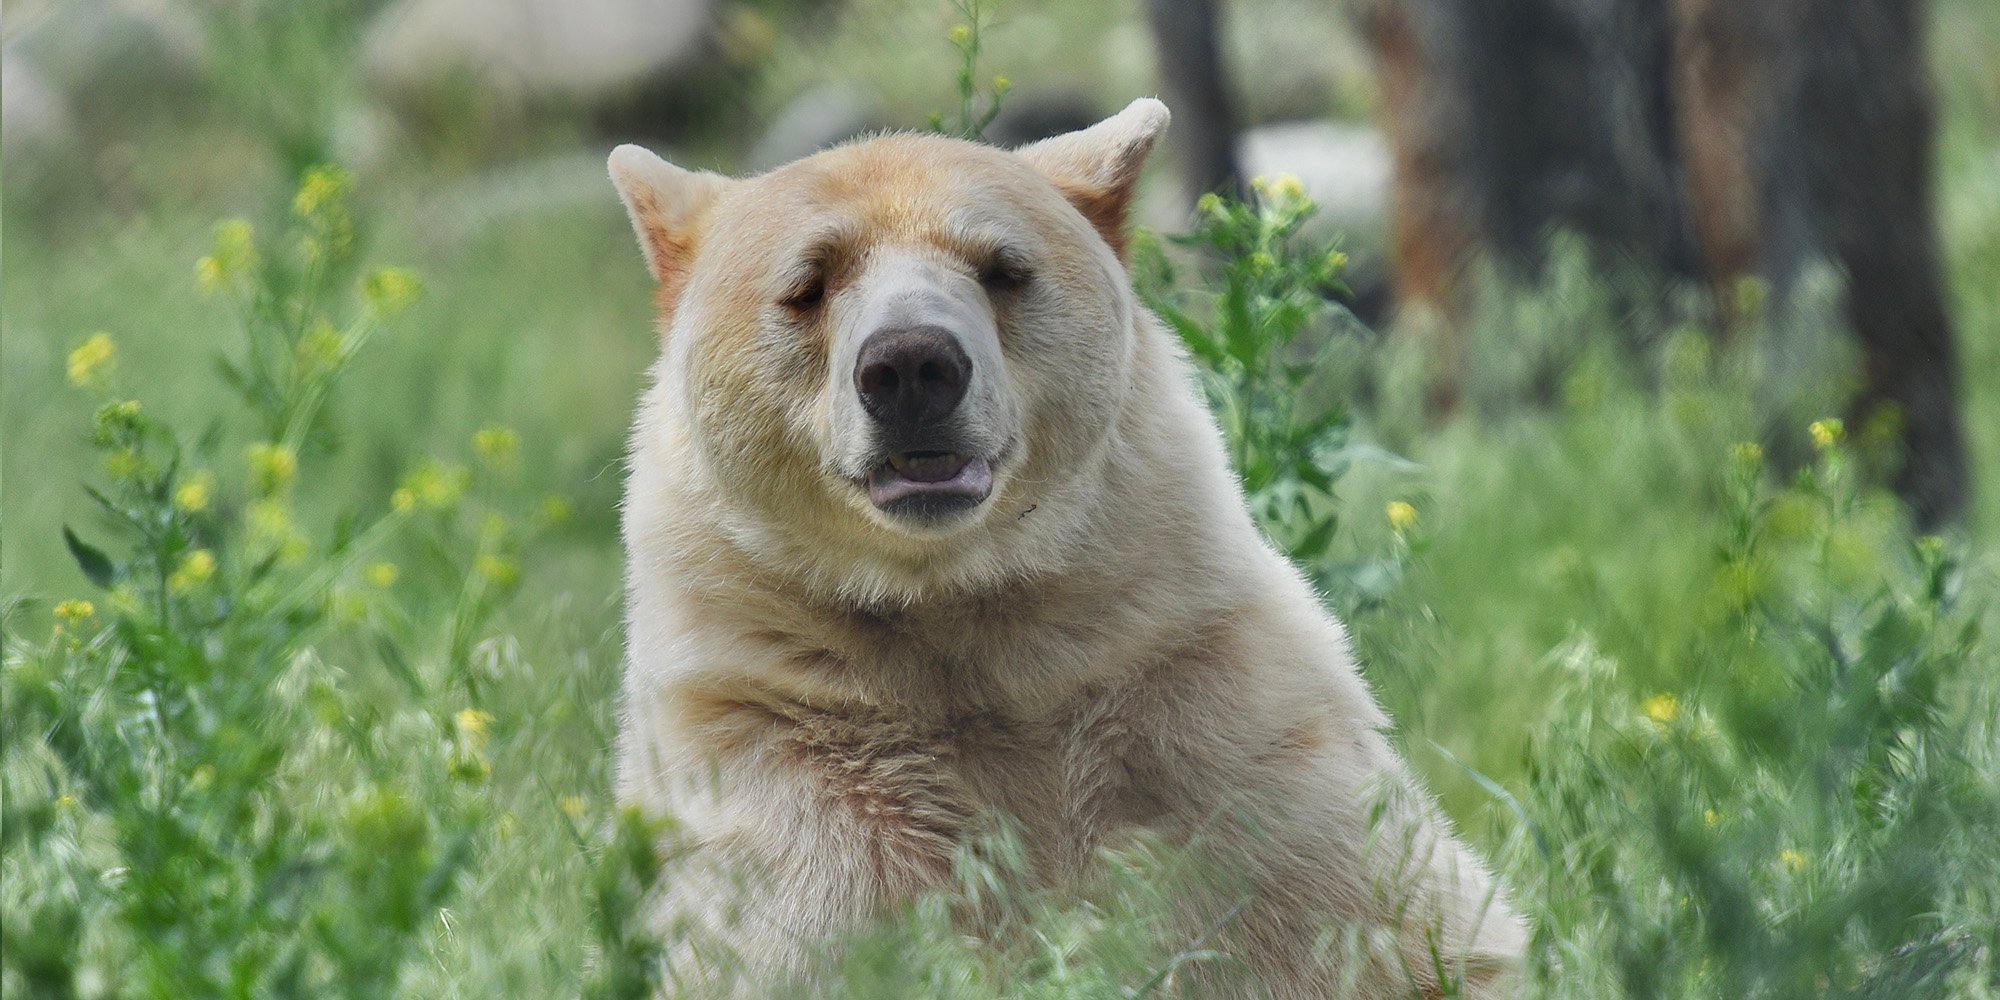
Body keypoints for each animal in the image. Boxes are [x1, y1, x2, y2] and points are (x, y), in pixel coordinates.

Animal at [604, 95, 1512, 1000]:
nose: (911, 365)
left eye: (1003, 267)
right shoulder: (776, 754)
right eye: (808, 283)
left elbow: (1400, 924)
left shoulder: (1213, 717)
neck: (959, 618)